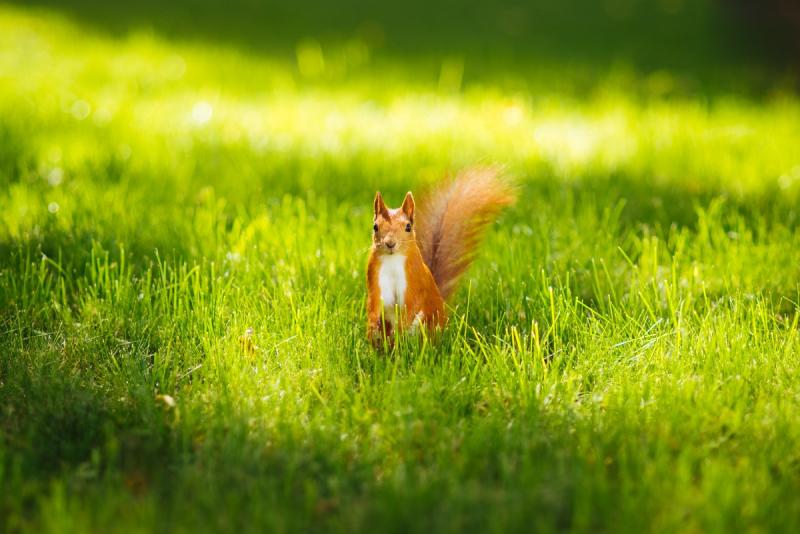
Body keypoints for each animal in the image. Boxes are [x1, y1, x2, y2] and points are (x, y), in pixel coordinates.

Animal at [366, 169, 516, 352]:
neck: (392, 260)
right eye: (375, 226)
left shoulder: (415, 279)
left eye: (408, 227)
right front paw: (372, 326)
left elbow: (412, 303)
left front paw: (399, 330)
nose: (390, 243)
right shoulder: (375, 276)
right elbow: (374, 303)